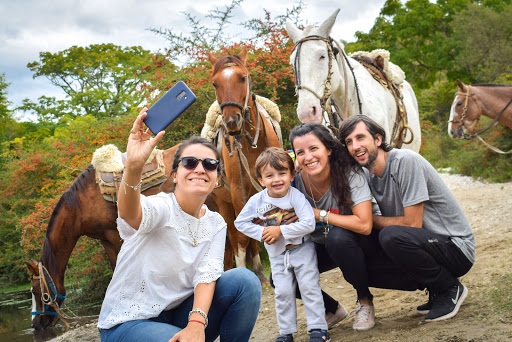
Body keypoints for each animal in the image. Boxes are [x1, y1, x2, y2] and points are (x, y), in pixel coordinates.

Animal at [207, 48, 282, 284]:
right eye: (215, 83)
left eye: (243, 77)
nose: (232, 121)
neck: (251, 145)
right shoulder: (238, 191)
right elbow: (240, 236)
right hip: (224, 204)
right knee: (233, 234)